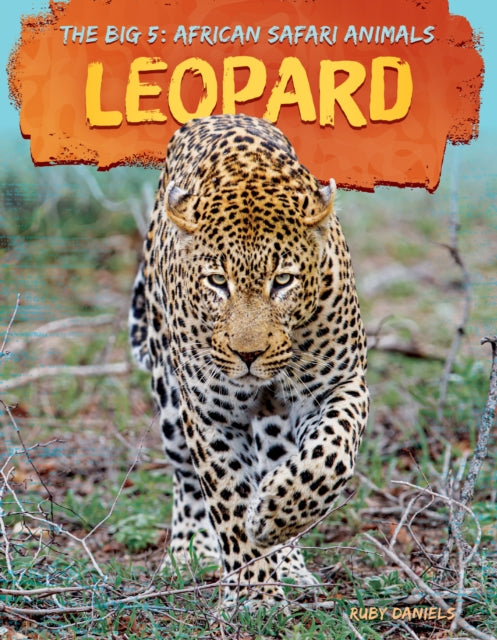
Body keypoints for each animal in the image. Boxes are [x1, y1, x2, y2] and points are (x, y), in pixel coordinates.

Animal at [129, 113, 369, 608]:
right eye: (217, 282)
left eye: (283, 281)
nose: (248, 354)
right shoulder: (210, 416)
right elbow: (229, 506)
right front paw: (255, 596)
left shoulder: (341, 385)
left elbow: (330, 456)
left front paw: (274, 517)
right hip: (170, 401)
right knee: (186, 480)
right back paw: (188, 555)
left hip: (276, 425)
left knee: (280, 462)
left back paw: (289, 558)